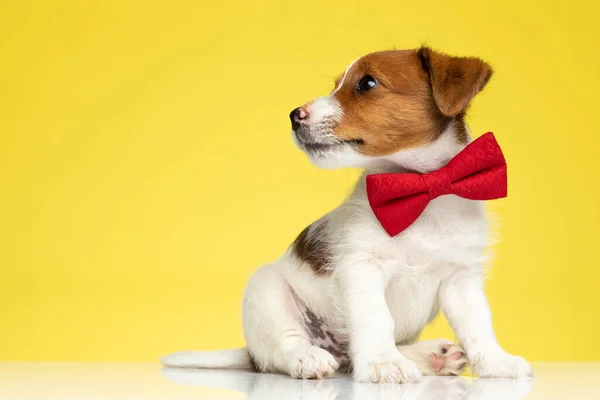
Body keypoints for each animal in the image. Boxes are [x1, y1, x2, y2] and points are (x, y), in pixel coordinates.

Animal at [162, 47, 532, 384]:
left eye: (367, 83)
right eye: (338, 84)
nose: (295, 114)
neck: (420, 190)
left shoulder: (461, 277)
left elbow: (477, 325)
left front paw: (497, 362)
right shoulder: (361, 266)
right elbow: (375, 319)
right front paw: (383, 363)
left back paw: (432, 357)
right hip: (265, 290)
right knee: (283, 347)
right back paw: (309, 358)